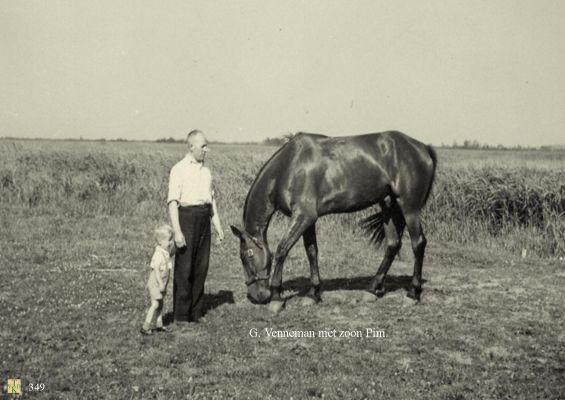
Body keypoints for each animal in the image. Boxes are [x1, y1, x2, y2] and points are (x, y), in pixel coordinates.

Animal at [229, 130, 436, 308]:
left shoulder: (303, 216)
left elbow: (282, 250)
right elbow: (312, 252)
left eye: (246, 256)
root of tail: (423, 147)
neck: (288, 167)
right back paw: (372, 290)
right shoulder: (308, 220)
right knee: (393, 244)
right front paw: (313, 294)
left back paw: (413, 293)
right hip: (389, 207)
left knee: (418, 243)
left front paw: (276, 297)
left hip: (409, 208)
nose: (256, 296)